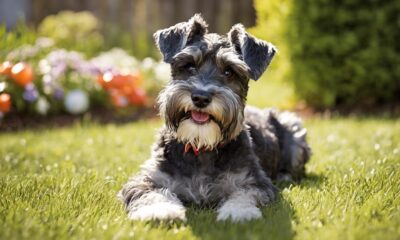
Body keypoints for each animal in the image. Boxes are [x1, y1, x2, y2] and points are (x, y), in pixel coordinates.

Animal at [117, 14, 310, 222]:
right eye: (189, 65)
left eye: (229, 71)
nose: (200, 97)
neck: (201, 147)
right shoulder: (149, 178)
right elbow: (151, 192)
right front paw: (160, 210)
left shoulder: (255, 182)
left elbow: (243, 194)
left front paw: (239, 211)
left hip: (294, 130)